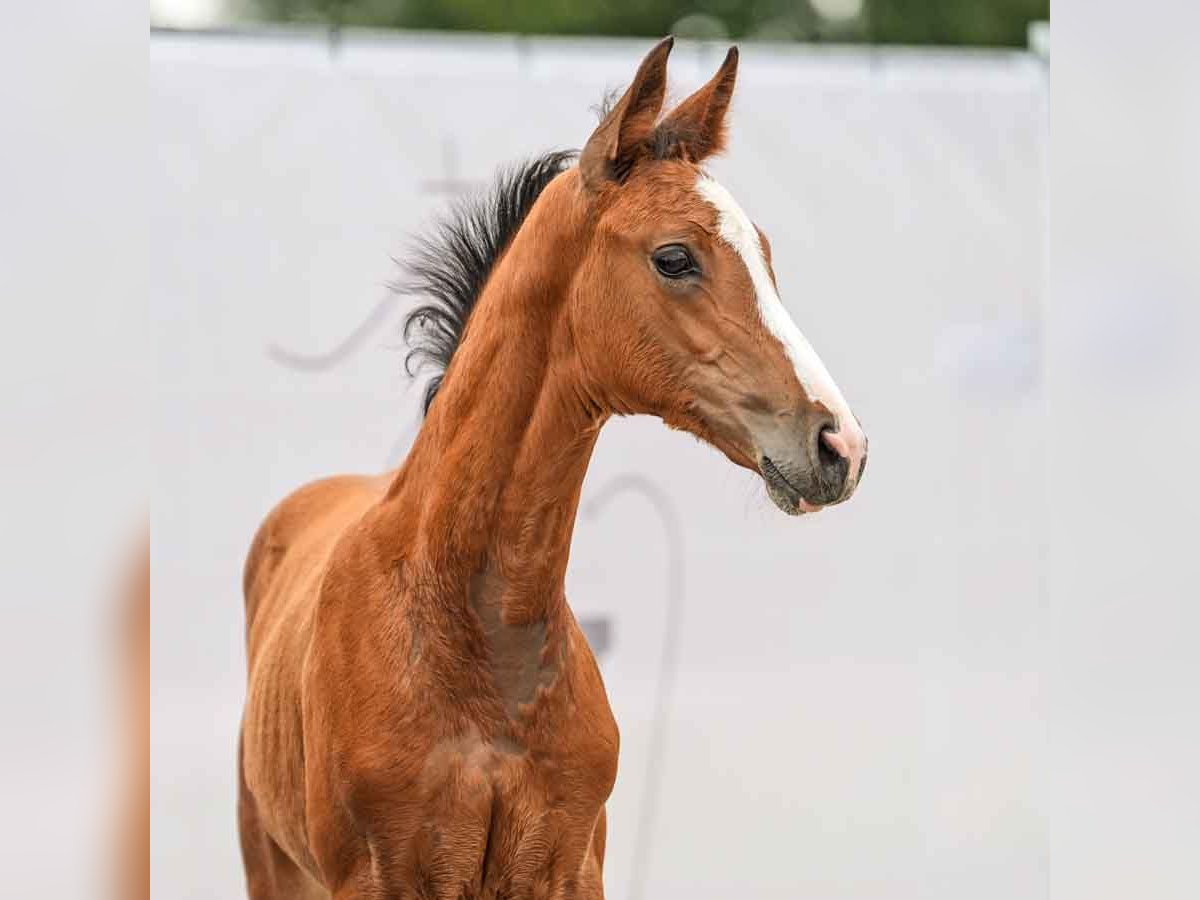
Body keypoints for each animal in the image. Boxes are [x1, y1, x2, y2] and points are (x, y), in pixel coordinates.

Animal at [238, 37, 868, 900]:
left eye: (765, 256)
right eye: (675, 257)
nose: (841, 445)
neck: (479, 636)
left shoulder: (570, 869)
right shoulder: (375, 878)